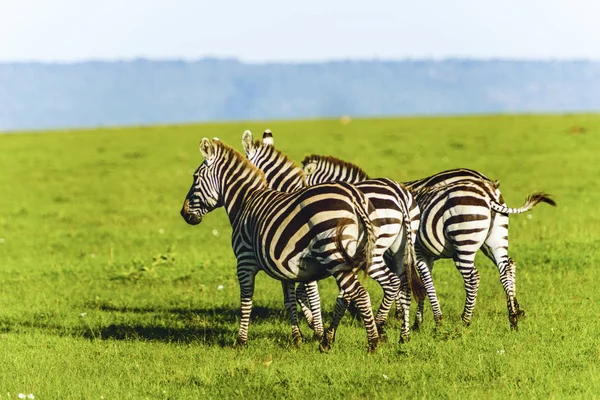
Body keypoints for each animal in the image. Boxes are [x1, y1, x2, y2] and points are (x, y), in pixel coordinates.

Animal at [180, 139, 384, 352]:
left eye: (195, 177)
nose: (183, 213)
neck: (245, 201)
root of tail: (354, 197)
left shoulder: (244, 261)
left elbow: (246, 301)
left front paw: (240, 341)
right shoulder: (285, 268)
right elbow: (289, 302)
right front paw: (298, 338)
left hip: (335, 256)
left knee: (360, 294)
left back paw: (372, 343)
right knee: (349, 294)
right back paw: (329, 341)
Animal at [241, 130, 424, 344]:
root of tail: (400, 195)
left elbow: (304, 291)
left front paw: (315, 326)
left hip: (374, 251)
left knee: (394, 283)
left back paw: (380, 327)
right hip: (399, 248)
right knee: (404, 284)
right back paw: (403, 334)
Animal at [302, 153, 556, 328]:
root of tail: (488, 186)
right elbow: (409, 282)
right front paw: (409, 317)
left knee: (477, 276)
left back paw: (469, 319)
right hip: (493, 239)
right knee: (507, 266)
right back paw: (514, 313)